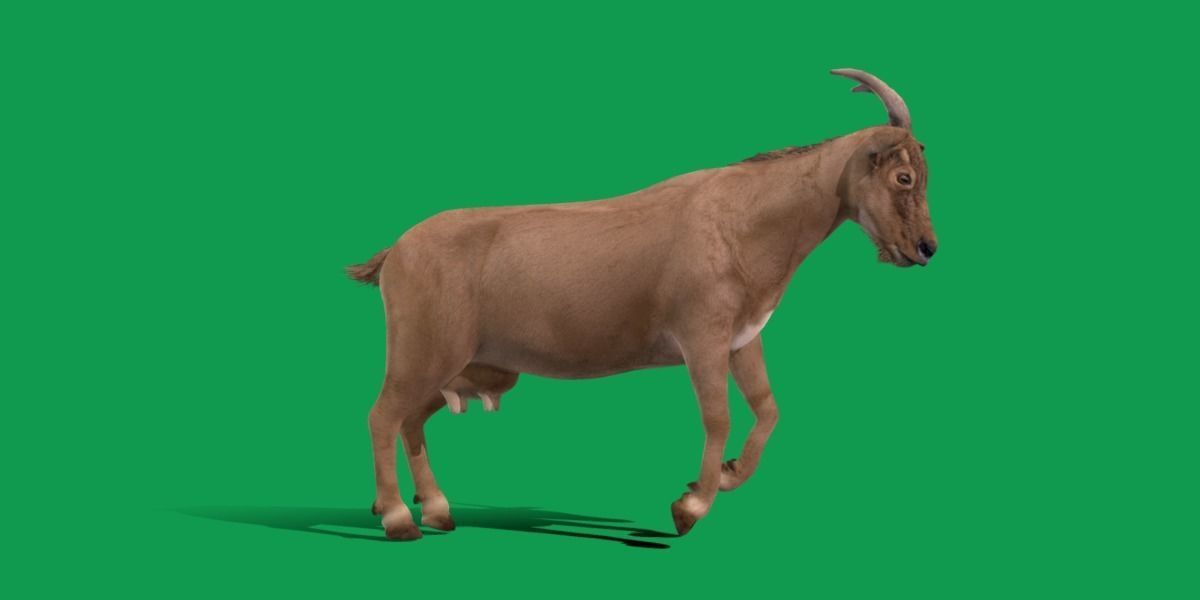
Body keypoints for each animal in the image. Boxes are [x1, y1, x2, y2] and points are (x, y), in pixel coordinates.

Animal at [349, 69, 938, 540]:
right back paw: (398, 519)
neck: (743, 220)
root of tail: (396, 251)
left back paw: (438, 510)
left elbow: (768, 409)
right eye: (904, 176)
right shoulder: (702, 340)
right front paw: (690, 507)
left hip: (461, 366)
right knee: (383, 417)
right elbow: (718, 416)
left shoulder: (743, 339)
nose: (926, 248)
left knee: (411, 421)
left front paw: (726, 475)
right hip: (423, 354)